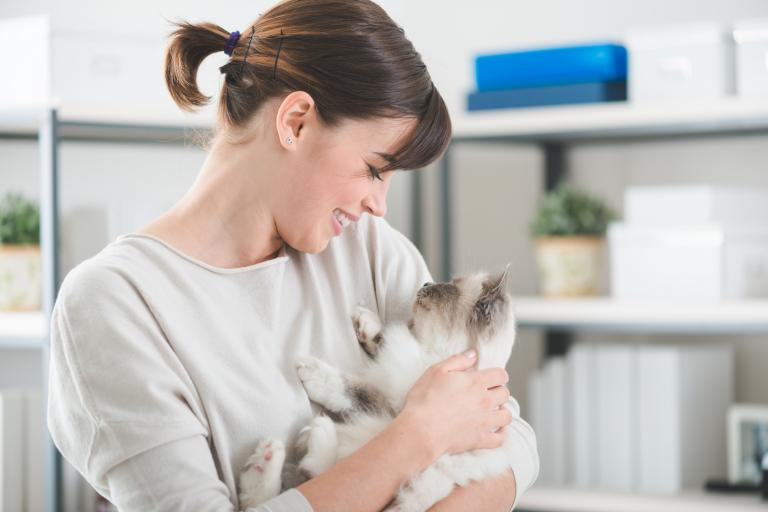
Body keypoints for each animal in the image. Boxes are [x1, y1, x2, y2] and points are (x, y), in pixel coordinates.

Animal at [238, 270, 516, 510]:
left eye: (451, 286)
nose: (426, 283)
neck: (433, 357)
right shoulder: (391, 391)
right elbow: (374, 352)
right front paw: (363, 321)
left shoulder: (394, 408)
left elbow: (351, 388)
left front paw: (309, 371)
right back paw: (266, 461)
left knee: (307, 475)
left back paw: (306, 439)